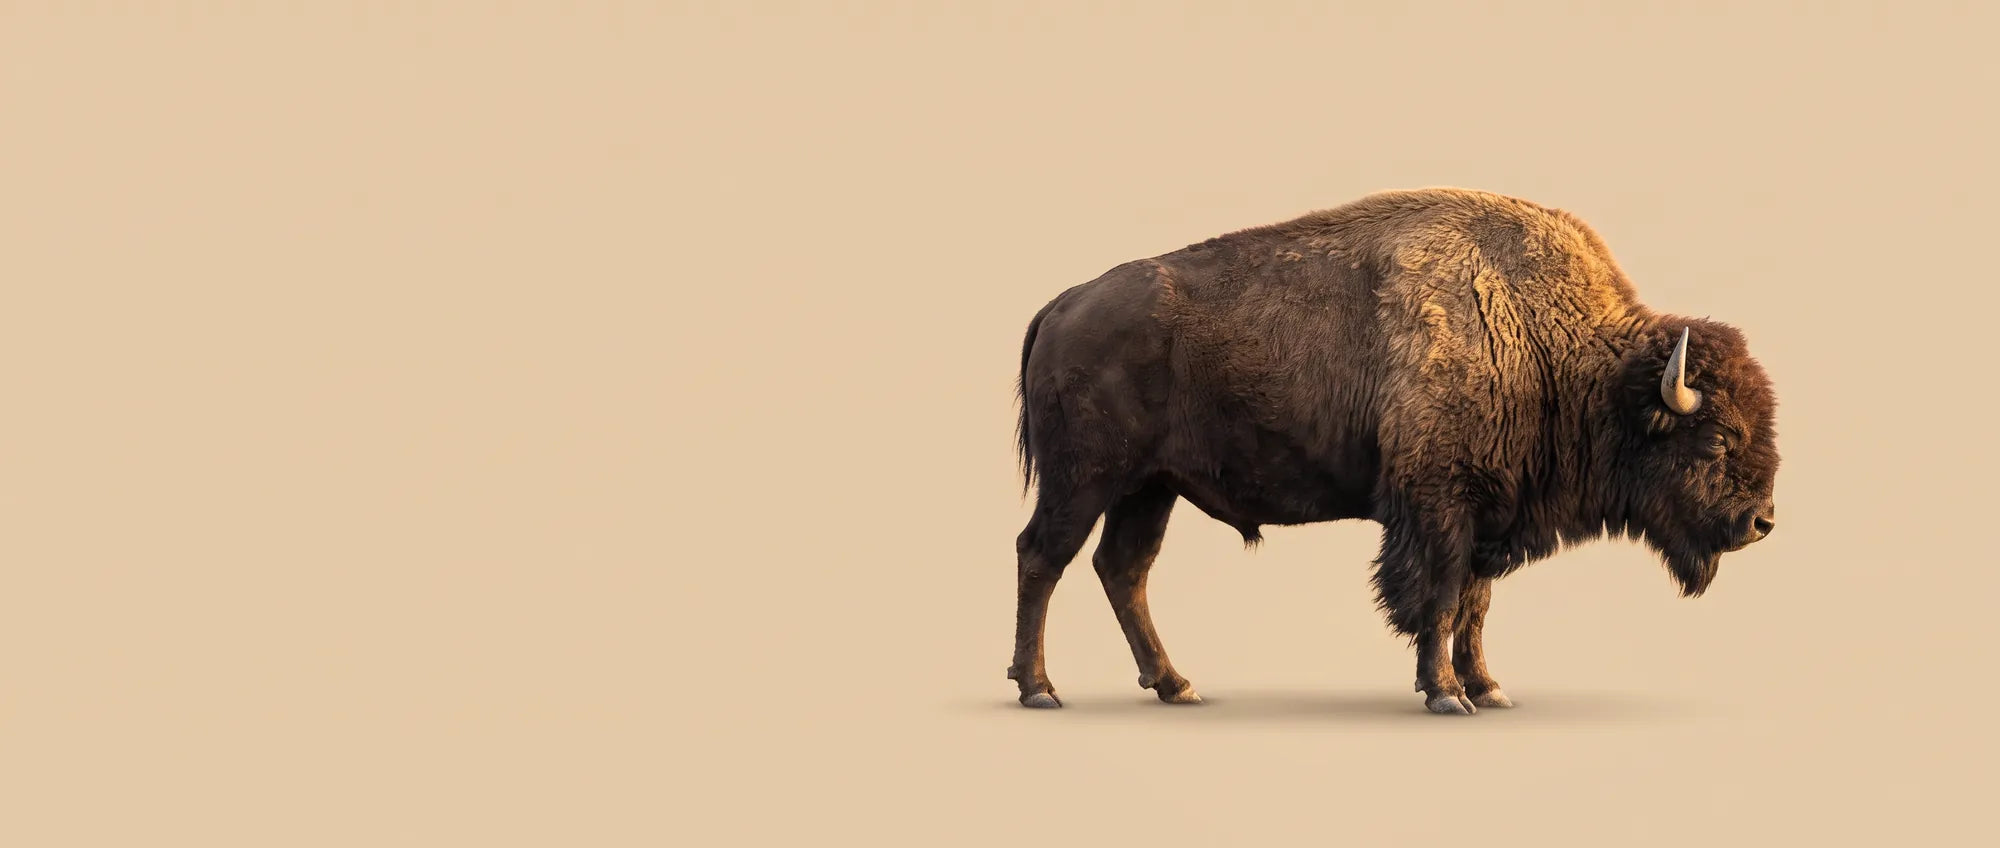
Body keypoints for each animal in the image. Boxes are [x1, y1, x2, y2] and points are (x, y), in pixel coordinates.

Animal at [1007, 188, 1780, 715]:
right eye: (1717, 436)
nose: (1761, 521)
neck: (1556, 353)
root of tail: (1063, 304)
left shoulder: (1488, 513)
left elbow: (1474, 605)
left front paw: (1487, 688)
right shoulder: (1438, 505)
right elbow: (1438, 597)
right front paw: (1445, 695)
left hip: (1151, 487)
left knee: (1123, 570)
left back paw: (1175, 684)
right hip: (1085, 480)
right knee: (1043, 556)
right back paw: (1040, 688)